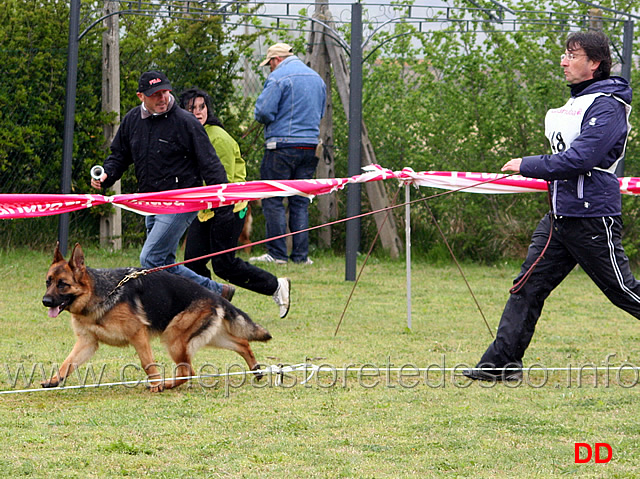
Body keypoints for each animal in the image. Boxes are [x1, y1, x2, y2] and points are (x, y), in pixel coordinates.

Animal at [40, 244, 270, 394]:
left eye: (62, 284)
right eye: (48, 282)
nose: (45, 301)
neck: (101, 293)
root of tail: (214, 296)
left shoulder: (138, 335)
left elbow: (147, 364)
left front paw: (156, 384)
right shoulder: (87, 342)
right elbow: (67, 363)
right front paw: (54, 380)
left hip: (174, 338)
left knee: (188, 371)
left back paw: (165, 385)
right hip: (207, 337)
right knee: (242, 343)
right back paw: (256, 369)